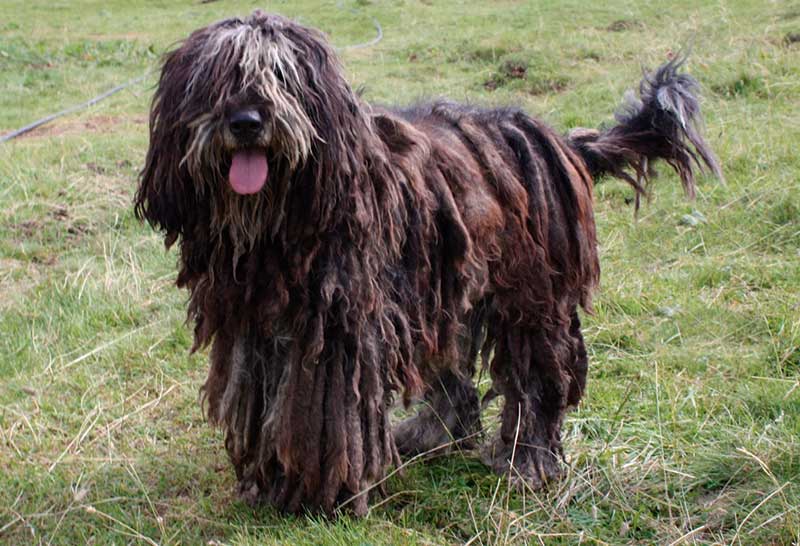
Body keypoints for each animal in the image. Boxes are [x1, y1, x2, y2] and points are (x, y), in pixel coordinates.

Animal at [134, 9, 720, 516]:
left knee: (539, 376)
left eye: (282, 75)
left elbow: (324, 417)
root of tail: (561, 140)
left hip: (530, 293)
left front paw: (319, 495)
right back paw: (430, 433)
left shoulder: (338, 334)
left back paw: (529, 460)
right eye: (216, 78)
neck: (279, 225)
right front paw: (268, 481)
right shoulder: (255, 328)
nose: (247, 121)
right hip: (441, 291)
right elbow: (265, 406)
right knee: (453, 377)